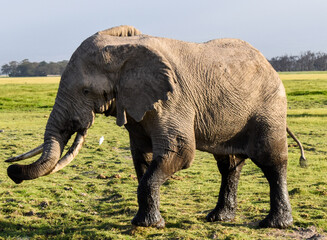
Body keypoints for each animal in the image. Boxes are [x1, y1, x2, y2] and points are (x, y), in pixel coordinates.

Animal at [5, 25, 308, 229]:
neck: (123, 50)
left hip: (269, 107)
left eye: (86, 91)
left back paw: (275, 224)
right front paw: (145, 221)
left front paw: (148, 225)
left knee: (271, 160)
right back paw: (218, 218)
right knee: (229, 164)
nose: (12, 172)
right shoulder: (136, 104)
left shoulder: (173, 99)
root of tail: (267, 62)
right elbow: (142, 157)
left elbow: (179, 152)